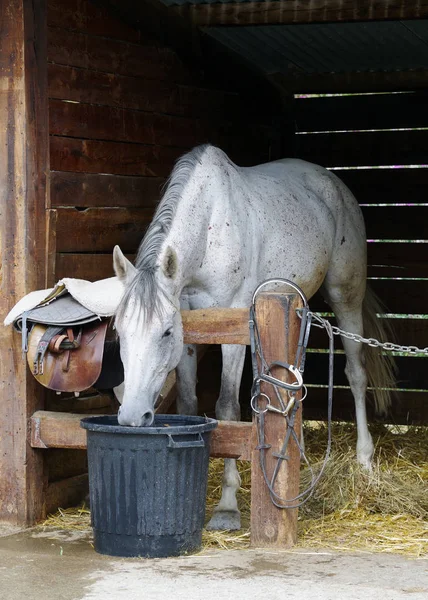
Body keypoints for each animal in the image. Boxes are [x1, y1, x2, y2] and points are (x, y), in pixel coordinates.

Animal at [113, 144, 394, 528]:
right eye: (119, 330)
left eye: (165, 331)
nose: (131, 416)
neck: (210, 230)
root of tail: (333, 183)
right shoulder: (191, 336)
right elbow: (189, 404)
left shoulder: (233, 330)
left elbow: (227, 407)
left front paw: (227, 506)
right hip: (293, 304)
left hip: (345, 295)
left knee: (356, 373)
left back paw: (364, 459)